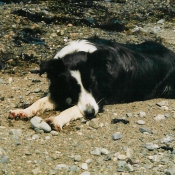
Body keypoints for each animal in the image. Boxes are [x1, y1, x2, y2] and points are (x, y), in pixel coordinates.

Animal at [8, 38, 175, 131]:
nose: (90, 114)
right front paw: (23, 111)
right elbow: (39, 102)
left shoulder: (100, 99)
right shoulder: (60, 90)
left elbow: (72, 109)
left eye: (93, 84)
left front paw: (57, 119)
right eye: (71, 88)